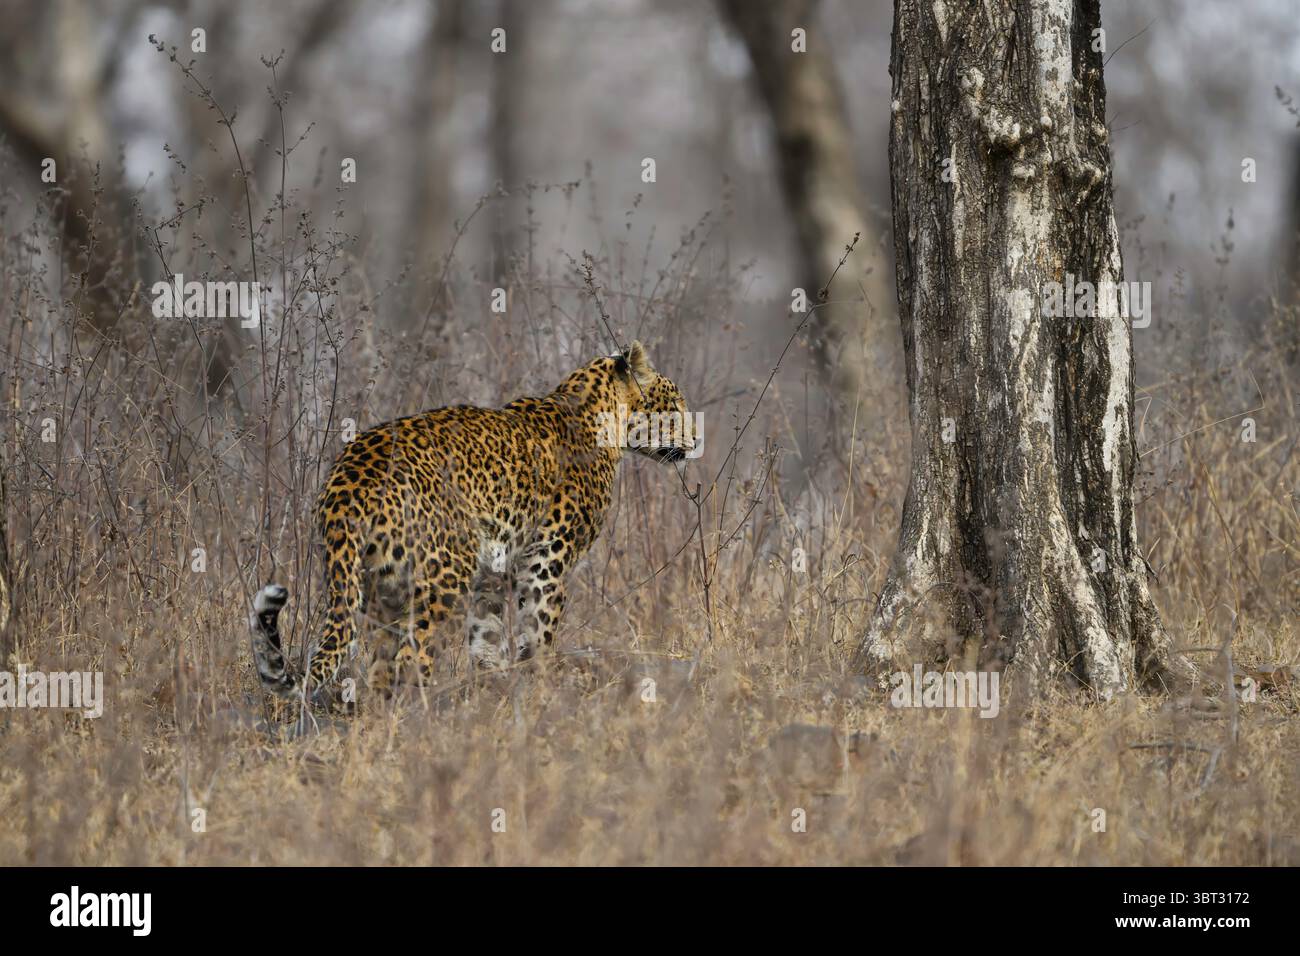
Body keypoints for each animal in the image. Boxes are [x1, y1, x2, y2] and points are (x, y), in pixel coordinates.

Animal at [248, 341, 696, 706]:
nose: (696, 440)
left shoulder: (492, 576)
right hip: (442, 577)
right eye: (674, 405)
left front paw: (493, 700)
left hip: (380, 587)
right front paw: (538, 690)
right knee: (410, 661)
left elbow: (487, 643)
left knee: (379, 669)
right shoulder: (546, 562)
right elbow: (539, 636)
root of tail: (348, 481)